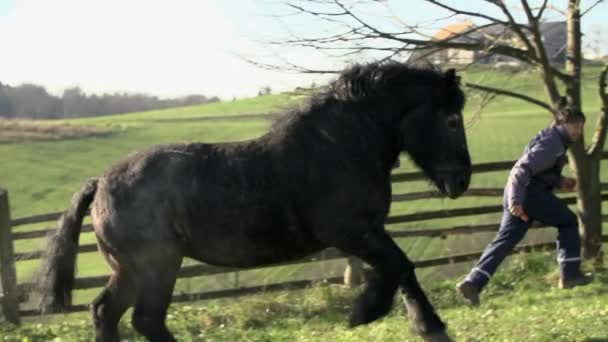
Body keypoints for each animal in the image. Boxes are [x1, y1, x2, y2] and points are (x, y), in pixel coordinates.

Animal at [38, 62, 472, 342]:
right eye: (452, 120)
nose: (462, 180)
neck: (339, 147)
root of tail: (101, 183)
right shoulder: (352, 232)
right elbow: (400, 265)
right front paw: (372, 313)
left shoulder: (368, 233)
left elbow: (400, 269)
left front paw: (423, 325)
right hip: (154, 266)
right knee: (143, 319)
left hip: (132, 269)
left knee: (107, 312)